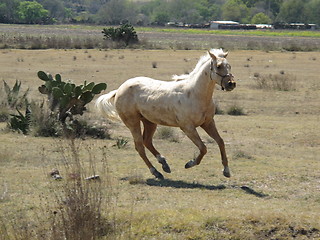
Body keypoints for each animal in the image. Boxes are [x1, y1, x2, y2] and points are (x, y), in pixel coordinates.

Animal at [96, 48, 236, 179]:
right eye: (218, 66)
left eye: (229, 66)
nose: (231, 84)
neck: (195, 94)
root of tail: (119, 90)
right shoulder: (187, 128)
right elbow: (203, 148)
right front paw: (189, 164)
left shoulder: (208, 123)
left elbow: (220, 142)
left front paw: (226, 171)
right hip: (133, 123)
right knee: (140, 146)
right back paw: (156, 172)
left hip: (149, 122)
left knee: (147, 141)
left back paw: (164, 164)